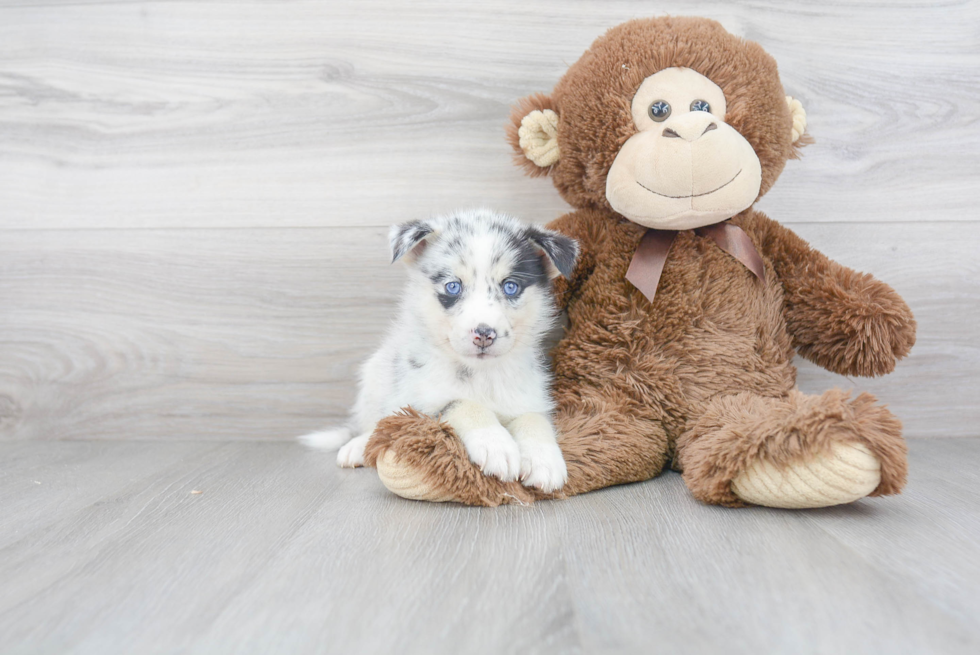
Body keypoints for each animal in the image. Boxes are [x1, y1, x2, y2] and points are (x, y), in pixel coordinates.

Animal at [298, 210, 576, 492]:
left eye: (511, 287)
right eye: (453, 286)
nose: (484, 334)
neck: (480, 373)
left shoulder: (527, 396)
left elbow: (535, 419)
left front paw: (544, 459)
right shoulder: (416, 404)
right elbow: (462, 403)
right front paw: (495, 444)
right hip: (375, 379)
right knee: (374, 423)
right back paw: (356, 446)